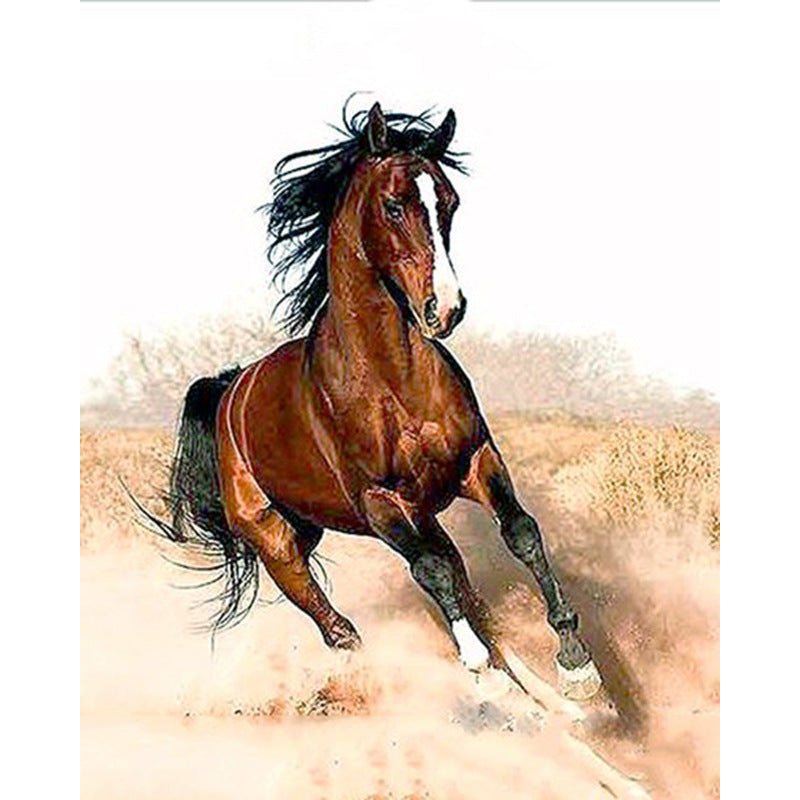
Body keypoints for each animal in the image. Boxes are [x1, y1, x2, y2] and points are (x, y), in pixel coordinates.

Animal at [146, 102, 601, 701]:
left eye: (449, 201)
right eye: (393, 205)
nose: (446, 309)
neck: (392, 380)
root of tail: (230, 391)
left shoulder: (475, 461)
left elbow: (520, 533)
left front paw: (576, 664)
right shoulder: (380, 502)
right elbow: (431, 571)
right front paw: (481, 669)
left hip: (390, 516)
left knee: (452, 574)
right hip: (278, 541)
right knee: (338, 626)